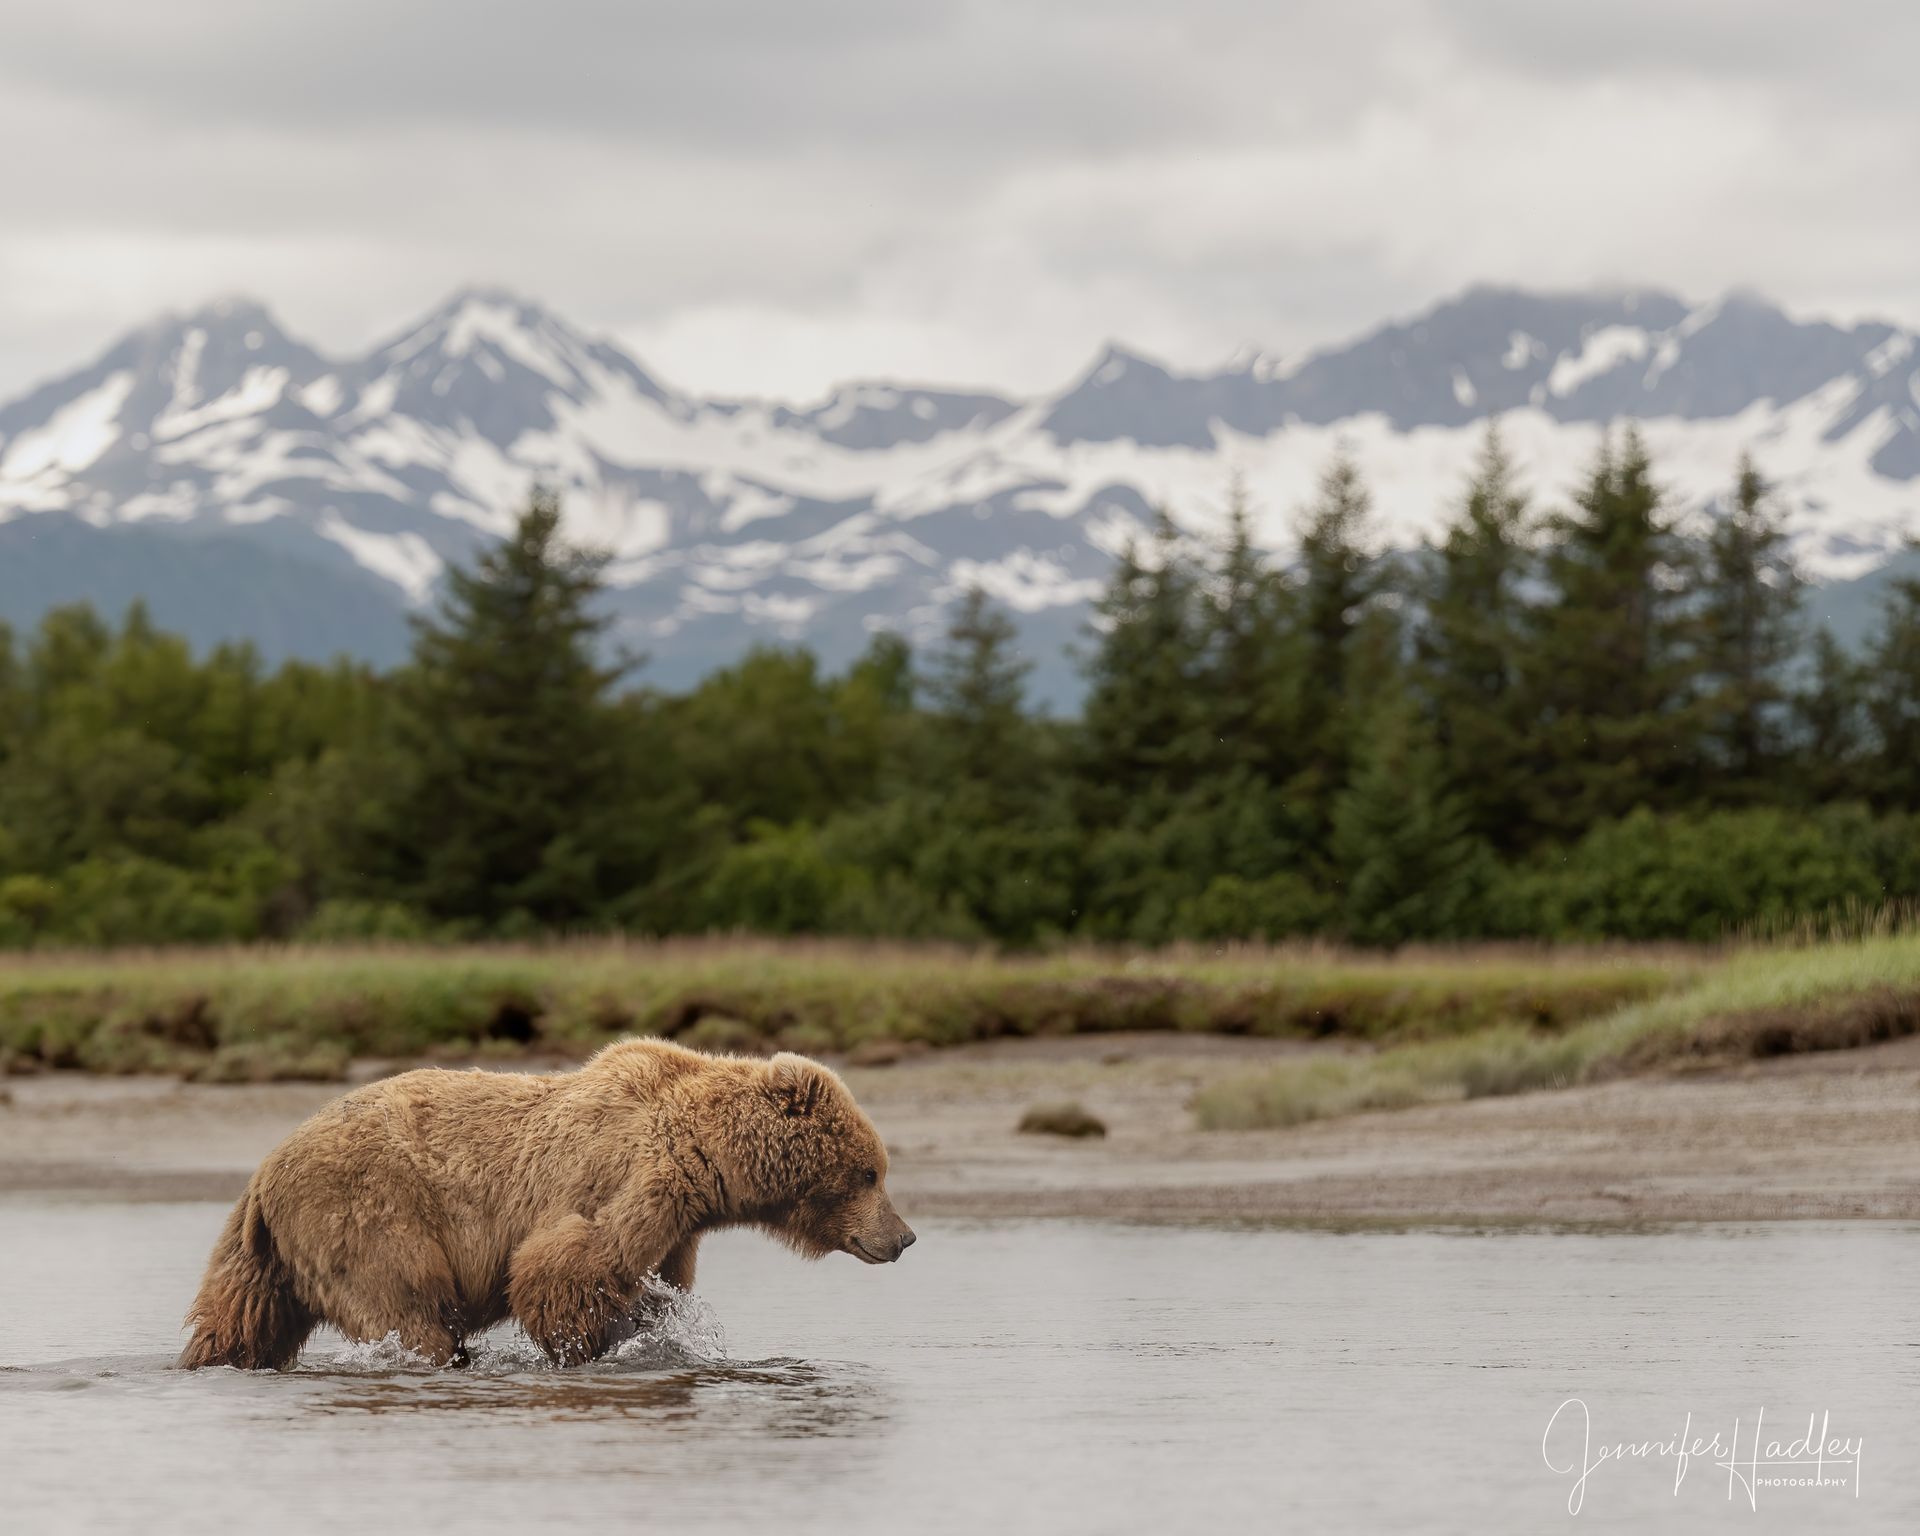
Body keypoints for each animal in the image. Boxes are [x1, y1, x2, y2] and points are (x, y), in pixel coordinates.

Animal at [179, 1040, 915, 1370]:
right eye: (870, 1172)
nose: (904, 1236)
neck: (707, 1161)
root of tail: (266, 1168)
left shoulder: (678, 1224)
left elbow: (656, 1285)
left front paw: (657, 1332)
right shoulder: (632, 1179)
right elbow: (565, 1266)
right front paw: (586, 1346)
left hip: (262, 1249)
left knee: (239, 1317)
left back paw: (210, 1359)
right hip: (365, 1214)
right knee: (408, 1307)